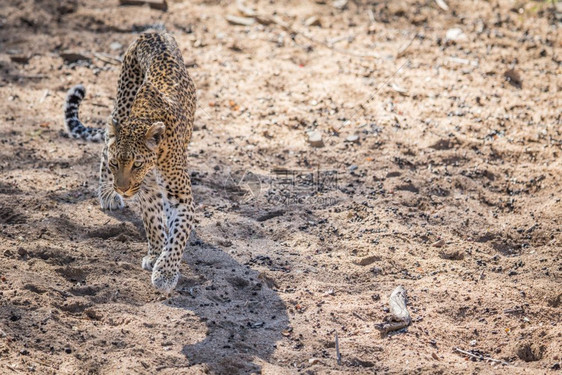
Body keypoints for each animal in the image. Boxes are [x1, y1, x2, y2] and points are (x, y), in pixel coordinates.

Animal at [61, 32, 195, 296]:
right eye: (116, 164)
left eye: (137, 164)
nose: (122, 189)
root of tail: (153, 32)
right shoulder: (148, 189)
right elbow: (152, 222)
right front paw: (156, 255)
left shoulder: (180, 196)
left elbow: (178, 236)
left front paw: (165, 271)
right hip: (121, 105)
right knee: (105, 144)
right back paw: (107, 195)